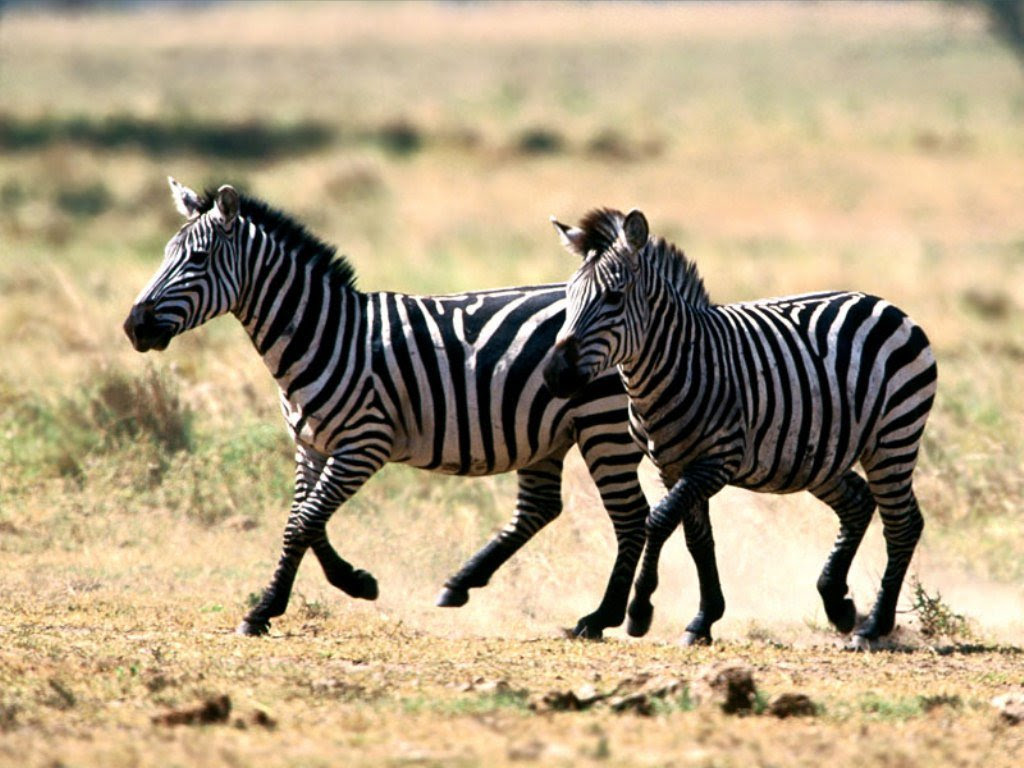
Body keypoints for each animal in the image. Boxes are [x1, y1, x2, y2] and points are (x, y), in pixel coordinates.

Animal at [123, 179, 649, 638]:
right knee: (539, 508)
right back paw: (460, 584)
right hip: (545, 433)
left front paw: (265, 609)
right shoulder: (310, 445)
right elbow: (304, 520)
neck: (325, 334)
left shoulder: (364, 444)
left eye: (197, 258)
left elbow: (305, 521)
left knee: (630, 514)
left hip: (602, 425)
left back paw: (602, 618)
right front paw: (354, 581)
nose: (134, 326)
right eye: (165, 255)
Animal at [542, 208, 937, 649]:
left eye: (613, 297)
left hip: (893, 438)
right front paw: (703, 620)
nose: (554, 375)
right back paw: (838, 603)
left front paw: (640, 611)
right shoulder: (673, 467)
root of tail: (882, 303)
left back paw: (873, 626)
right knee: (858, 503)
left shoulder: (717, 461)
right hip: (818, 456)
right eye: (567, 295)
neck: (679, 363)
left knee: (903, 524)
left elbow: (658, 520)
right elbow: (697, 540)